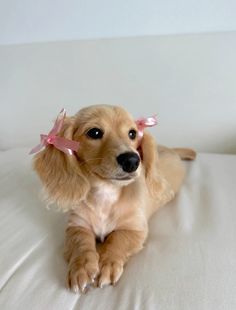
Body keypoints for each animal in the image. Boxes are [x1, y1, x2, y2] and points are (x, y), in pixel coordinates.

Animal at [32, 104, 195, 294]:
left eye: (132, 133)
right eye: (94, 132)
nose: (132, 160)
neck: (106, 194)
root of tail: (170, 149)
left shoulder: (134, 229)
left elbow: (117, 240)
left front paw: (107, 263)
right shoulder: (76, 225)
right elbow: (81, 243)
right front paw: (81, 268)